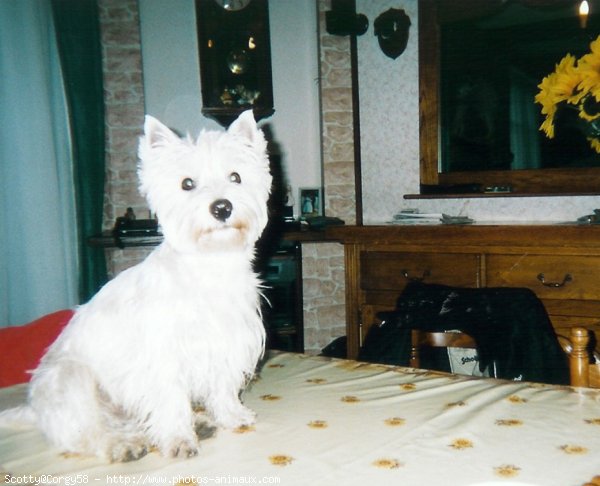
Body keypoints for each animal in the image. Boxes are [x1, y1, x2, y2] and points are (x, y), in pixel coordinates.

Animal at [3, 111, 270, 464]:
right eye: (187, 183)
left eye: (236, 177)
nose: (222, 207)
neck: (210, 265)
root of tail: (34, 410)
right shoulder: (163, 356)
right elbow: (170, 398)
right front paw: (178, 440)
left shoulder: (228, 341)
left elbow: (222, 385)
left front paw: (232, 416)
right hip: (72, 379)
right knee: (87, 432)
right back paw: (123, 445)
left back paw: (195, 424)